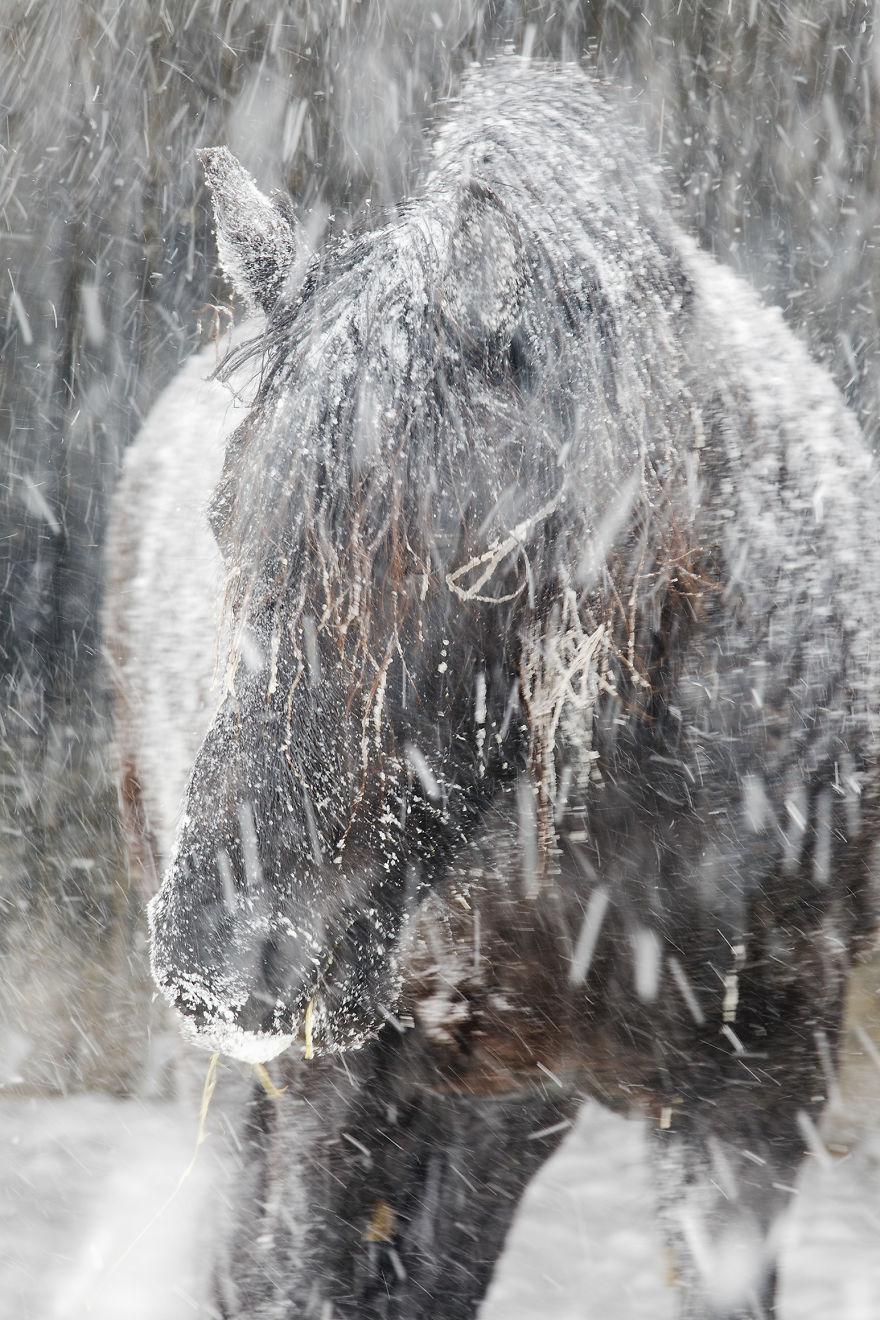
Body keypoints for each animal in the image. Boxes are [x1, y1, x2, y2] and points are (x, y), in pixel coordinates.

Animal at [107, 59, 880, 1319]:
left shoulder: (750, 1108)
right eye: (228, 520)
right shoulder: (336, 1099)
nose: (223, 954)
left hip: (504, 1111)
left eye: (478, 555)